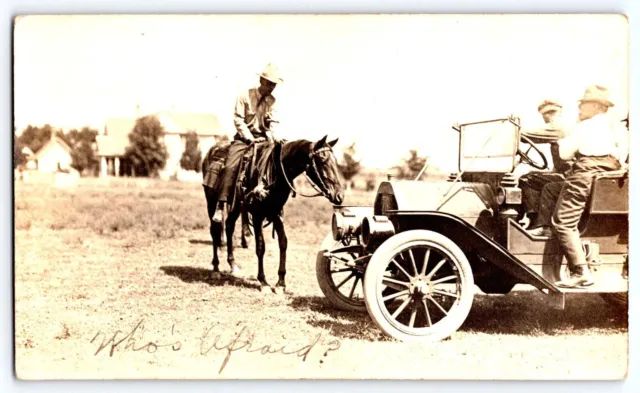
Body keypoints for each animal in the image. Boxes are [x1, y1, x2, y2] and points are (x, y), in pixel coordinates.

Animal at [204, 136, 344, 292]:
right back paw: (216, 269)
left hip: (236, 206)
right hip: (211, 202)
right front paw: (263, 282)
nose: (339, 195)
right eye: (323, 160)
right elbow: (260, 246)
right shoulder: (257, 215)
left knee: (229, 226)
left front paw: (281, 283)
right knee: (215, 230)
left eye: (335, 161)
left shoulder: (277, 213)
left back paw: (233, 265)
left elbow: (283, 243)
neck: (276, 173)